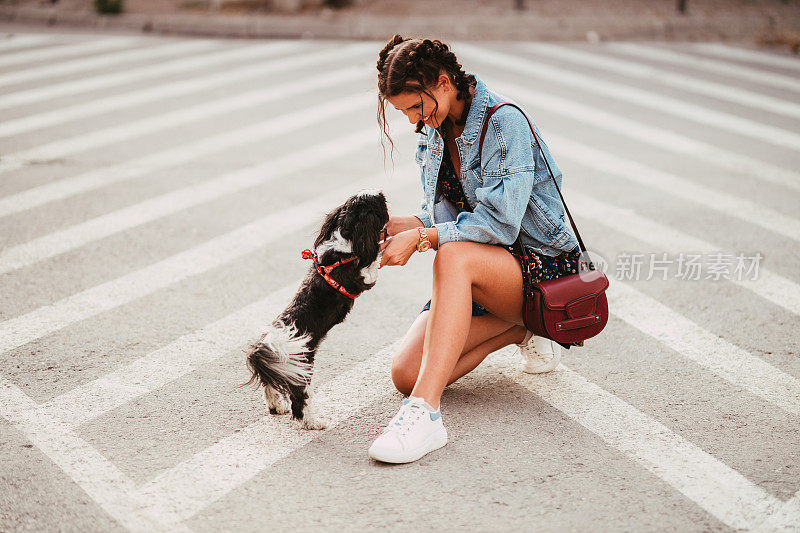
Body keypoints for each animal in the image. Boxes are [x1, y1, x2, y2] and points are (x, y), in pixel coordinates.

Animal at [247, 190, 390, 428]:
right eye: (378, 204)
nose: (381, 192)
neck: (343, 246)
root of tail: (269, 343)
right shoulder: (362, 278)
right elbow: (372, 264)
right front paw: (380, 250)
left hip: (280, 368)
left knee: (270, 385)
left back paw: (276, 406)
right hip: (299, 368)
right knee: (300, 401)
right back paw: (312, 422)